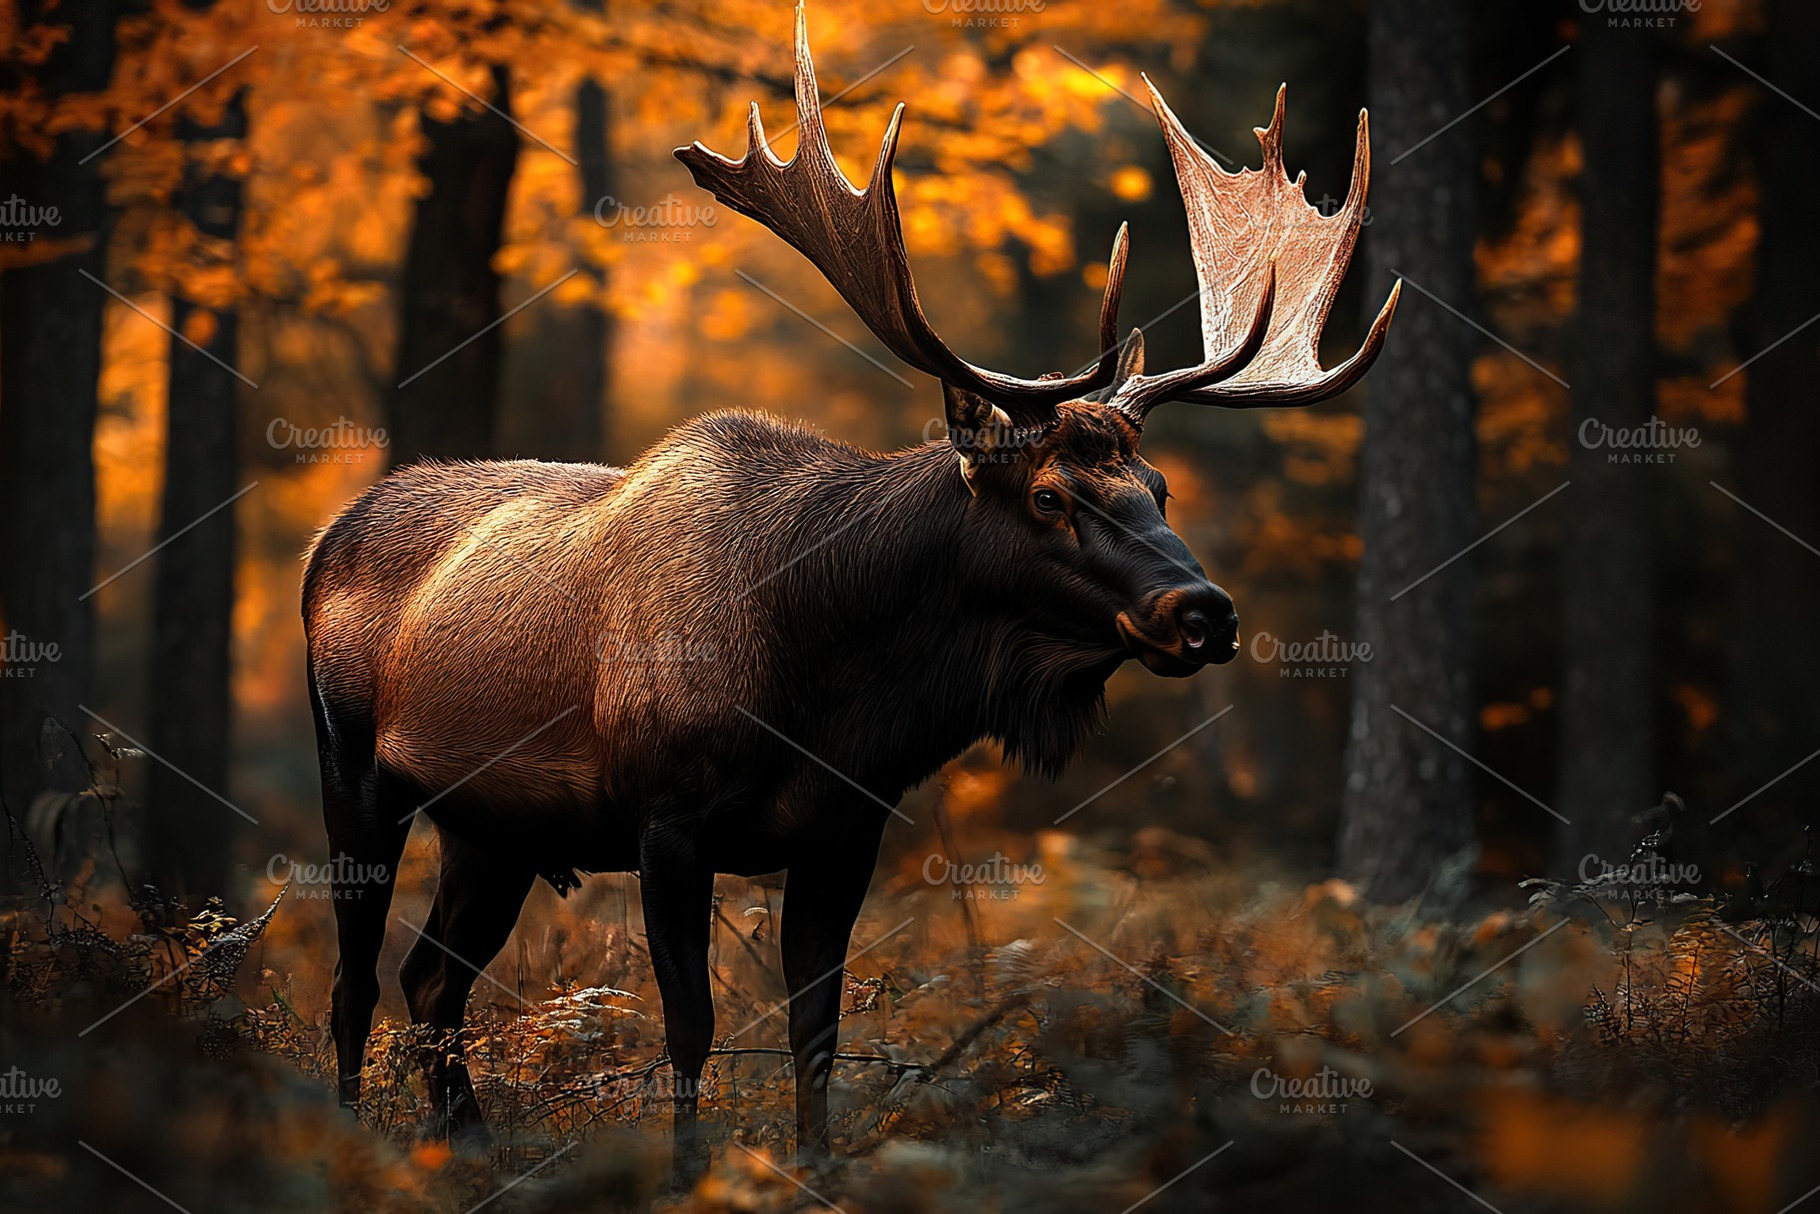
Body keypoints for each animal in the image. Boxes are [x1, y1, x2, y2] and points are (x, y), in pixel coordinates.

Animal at [302, 2, 1397, 1183]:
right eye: (1050, 494)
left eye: (1156, 487)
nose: (1203, 612)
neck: (825, 688)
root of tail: (327, 539)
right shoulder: (664, 815)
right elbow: (688, 1024)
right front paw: (690, 1174)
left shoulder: (844, 827)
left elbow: (815, 1027)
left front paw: (814, 1171)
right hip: (355, 770)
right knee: (354, 982)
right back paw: (348, 1137)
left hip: (492, 828)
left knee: (430, 979)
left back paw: (460, 1144)